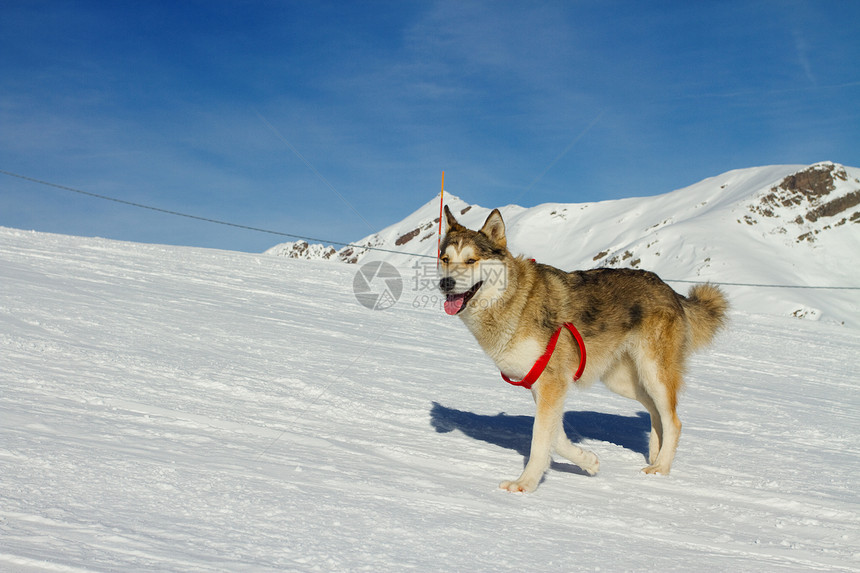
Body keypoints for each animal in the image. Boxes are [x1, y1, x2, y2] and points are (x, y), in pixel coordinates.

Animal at [436, 206, 724, 492]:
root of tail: (669, 289)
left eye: (471, 261)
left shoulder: (552, 384)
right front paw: (588, 461)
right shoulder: (544, 385)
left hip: (654, 373)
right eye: (445, 259)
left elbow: (540, 439)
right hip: (624, 381)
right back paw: (655, 454)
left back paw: (661, 467)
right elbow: (555, 437)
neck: (515, 300)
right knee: (655, 412)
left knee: (673, 420)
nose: (445, 283)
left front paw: (525, 484)